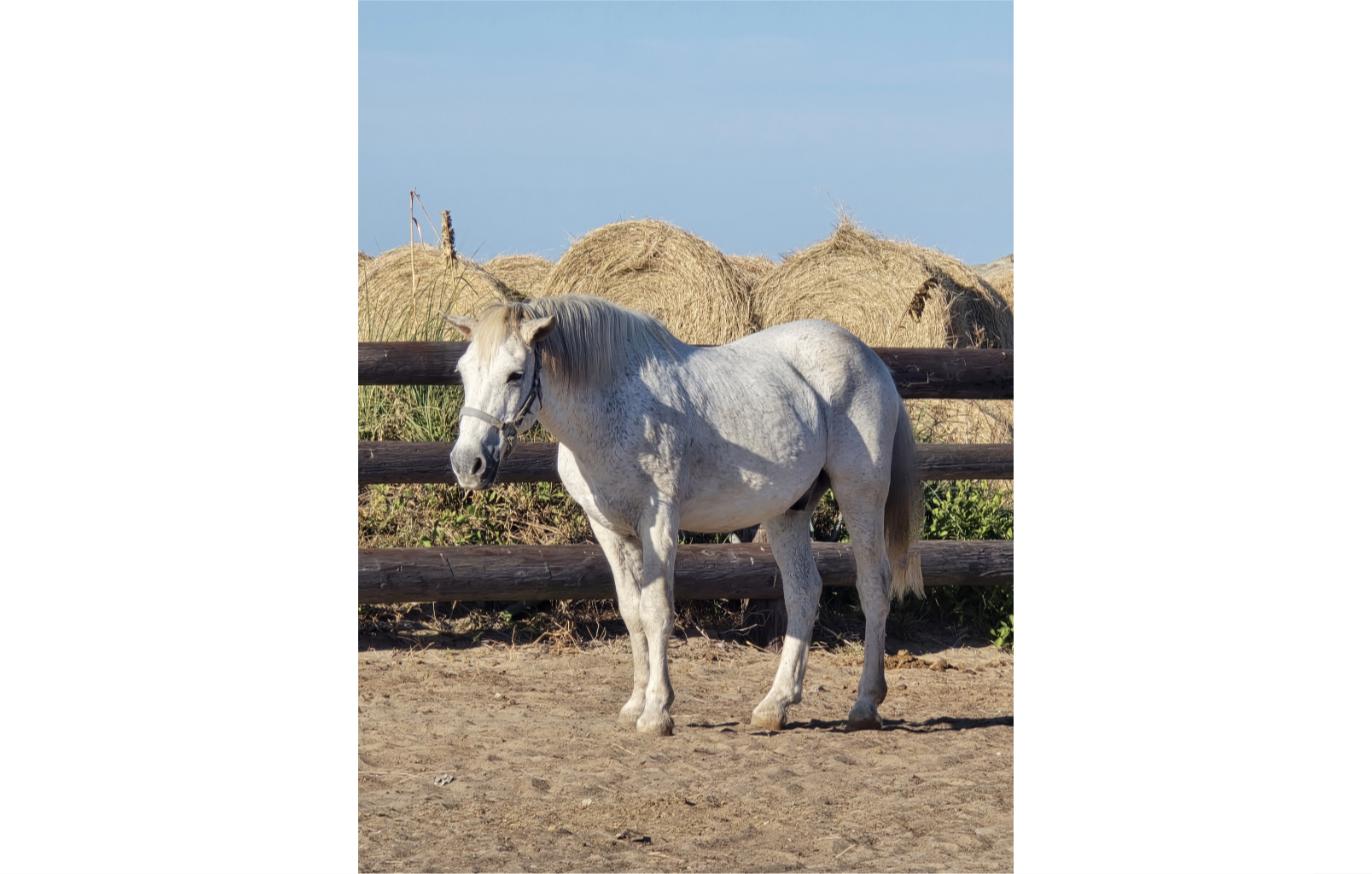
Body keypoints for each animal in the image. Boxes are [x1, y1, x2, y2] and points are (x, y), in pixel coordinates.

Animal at [445, 295, 923, 736]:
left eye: (515, 374)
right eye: (463, 372)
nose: (468, 464)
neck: (610, 406)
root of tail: (871, 360)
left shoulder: (658, 520)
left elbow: (656, 610)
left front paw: (657, 712)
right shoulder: (609, 530)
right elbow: (632, 611)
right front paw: (635, 704)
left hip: (860, 494)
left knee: (873, 586)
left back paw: (865, 703)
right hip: (788, 511)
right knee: (804, 591)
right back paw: (775, 706)